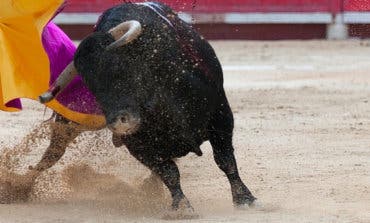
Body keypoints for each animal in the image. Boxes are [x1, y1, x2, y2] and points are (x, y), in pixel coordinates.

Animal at [39, 1, 256, 214]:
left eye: (121, 68)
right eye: (91, 87)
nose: (119, 123)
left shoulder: (221, 115)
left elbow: (225, 159)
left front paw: (244, 199)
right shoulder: (137, 144)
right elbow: (169, 172)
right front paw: (181, 207)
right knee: (53, 153)